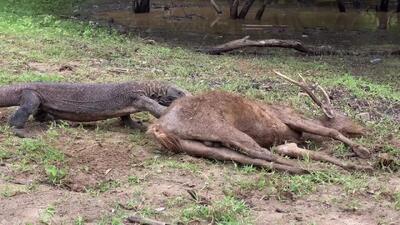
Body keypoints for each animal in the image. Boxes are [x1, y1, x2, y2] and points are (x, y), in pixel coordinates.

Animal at [147, 70, 372, 174]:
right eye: (344, 116)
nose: (364, 129)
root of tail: (159, 126)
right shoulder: (289, 117)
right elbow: (330, 132)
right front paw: (362, 152)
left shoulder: (286, 142)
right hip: (220, 127)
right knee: (261, 153)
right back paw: (332, 168)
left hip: (195, 145)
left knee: (243, 157)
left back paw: (306, 169)